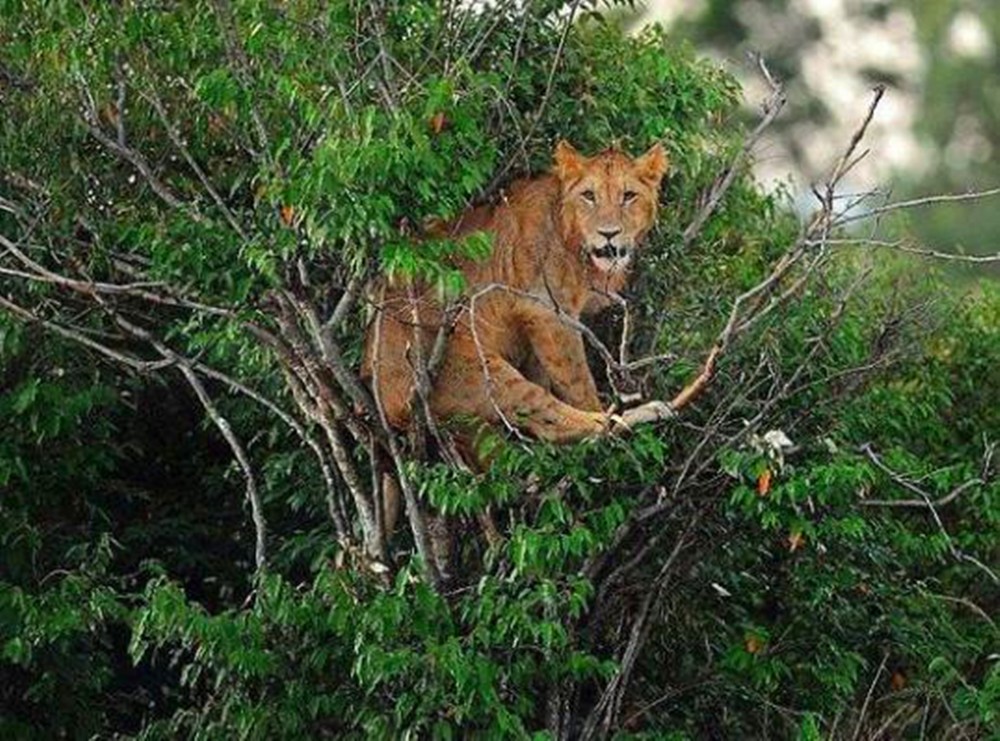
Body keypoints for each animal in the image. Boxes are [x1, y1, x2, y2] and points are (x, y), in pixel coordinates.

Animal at [360, 143, 672, 536]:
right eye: (589, 196)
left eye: (629, 196)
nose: (609, 234)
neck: (572, 239)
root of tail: (375, 392)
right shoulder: (548, 312)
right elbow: (577, 382)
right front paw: (600, 409)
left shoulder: (534, 328)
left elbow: (546, 371)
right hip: (481, 373)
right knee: (558, 423)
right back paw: (634, 416)